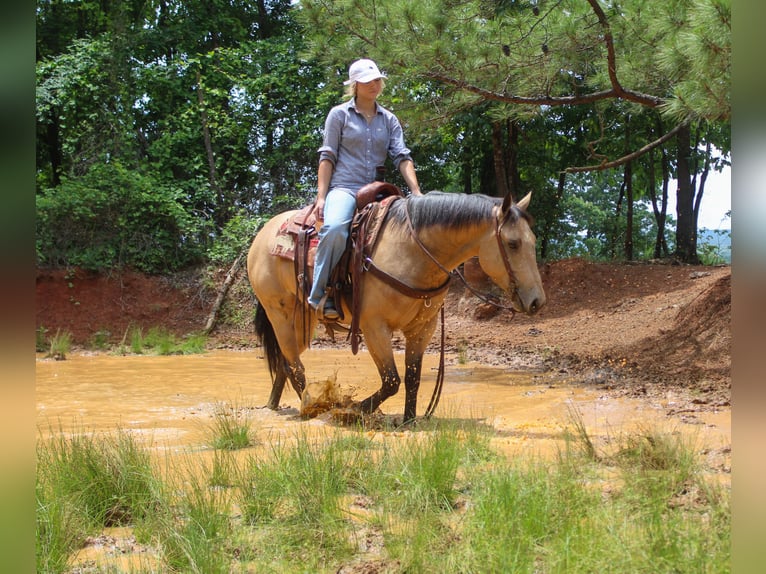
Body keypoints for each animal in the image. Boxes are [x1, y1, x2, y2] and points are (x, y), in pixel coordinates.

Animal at [247, 190, 546, 423]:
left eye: (532, 241)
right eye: (513, 243)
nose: (537, 301)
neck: (412, 251)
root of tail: (263, 234)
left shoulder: (423, 328)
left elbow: (412, 377)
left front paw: (409, 420)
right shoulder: (374, 327)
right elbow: (391, 380)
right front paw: (353, 410)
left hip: (303, 320)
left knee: (285, 361)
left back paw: (279, 404)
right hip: (279, 314)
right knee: (295, 367)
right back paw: (312, 408)